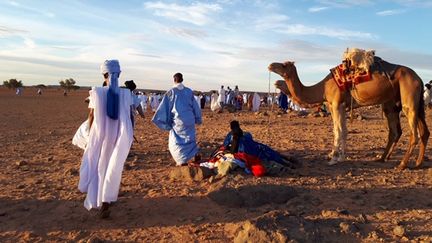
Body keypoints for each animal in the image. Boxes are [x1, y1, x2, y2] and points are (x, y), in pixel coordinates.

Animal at [270, 58, 428, 170]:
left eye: (284, 65)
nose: (271, 65)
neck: (323, 87)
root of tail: (419, 78)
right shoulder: (337, 105)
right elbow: (342, 130)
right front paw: (340, 156)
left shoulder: (336, 104)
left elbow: (338, 131)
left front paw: (334, 158)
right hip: (404, 103)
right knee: (417, 131)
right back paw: (407, 162)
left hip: (409, 98)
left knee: (413, 133)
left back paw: (402, 164)